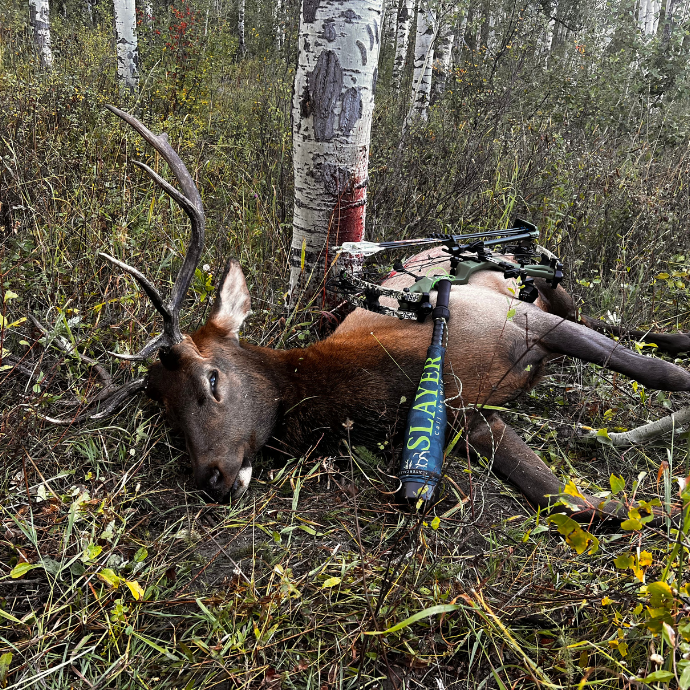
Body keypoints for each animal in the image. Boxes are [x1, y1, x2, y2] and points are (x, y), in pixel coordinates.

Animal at [50, 106, 690, 522]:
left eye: (211, 379)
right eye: (162, 412)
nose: (210, 478)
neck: (384, 383)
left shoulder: (527, 325)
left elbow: (659, 375)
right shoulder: (475, 421)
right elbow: (578, 505)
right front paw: (638, 502)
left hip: (548, 293)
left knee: (621, 329)